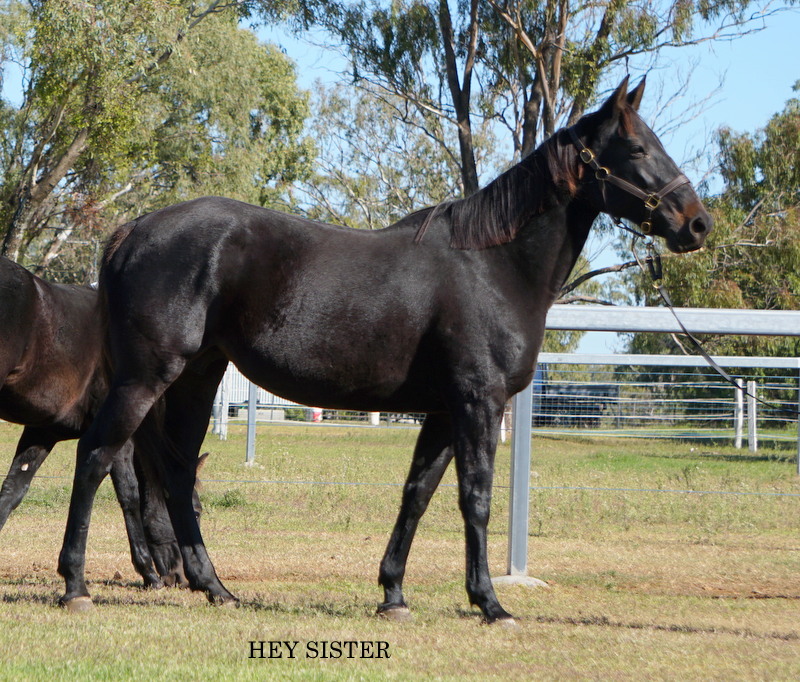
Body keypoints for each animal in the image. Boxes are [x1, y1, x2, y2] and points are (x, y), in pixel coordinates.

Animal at [0, 256, 193, 588]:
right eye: (195, 509)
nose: (179, 578)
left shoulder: (41, 433)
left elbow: (12, 491)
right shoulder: (121, 439)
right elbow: (129, 495)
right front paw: (147, 571)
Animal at [56, 77, 711, 623]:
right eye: (638, 150)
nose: (697, 223)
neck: (493, 267)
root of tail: (132, 231)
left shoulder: (445, 411)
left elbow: (416, 495)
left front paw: (393, 594)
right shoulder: (478, 403)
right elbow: (475, 499)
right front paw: (490, 603)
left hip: (198, 376)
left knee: (175, 470)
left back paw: (214, 586)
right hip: (147, 377)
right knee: (97, 458)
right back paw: (76, 586)